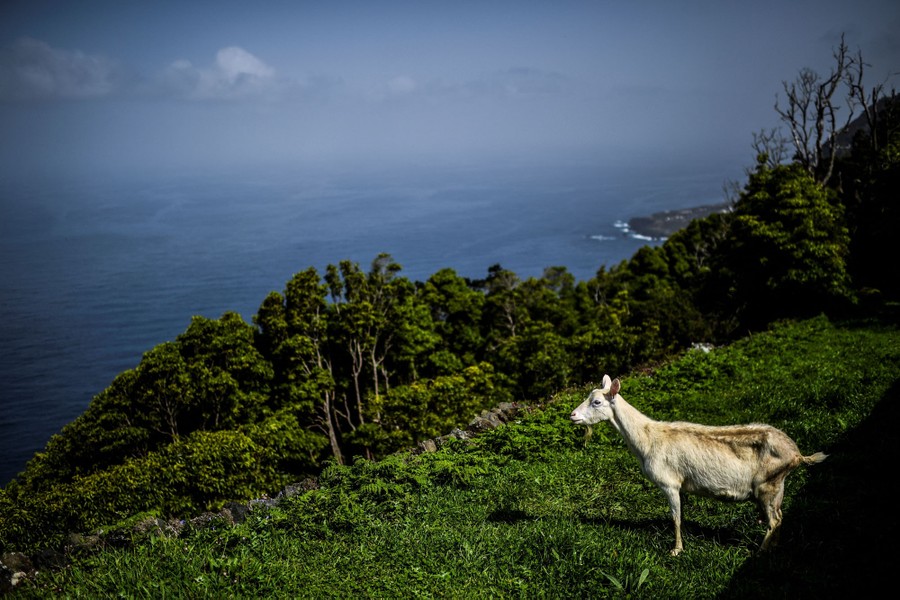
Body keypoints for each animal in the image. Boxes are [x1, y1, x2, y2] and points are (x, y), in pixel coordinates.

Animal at [570, 374, 827, 555]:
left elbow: (675, 518)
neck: (648, 438)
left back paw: (761, 551)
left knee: (775, 520)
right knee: (778, 517)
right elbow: (682, 514)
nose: (572, 415)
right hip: (775, 487)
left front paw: (676, 550)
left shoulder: (669, 483)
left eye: (596, 402)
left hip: (769, 485)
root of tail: (798, 454)